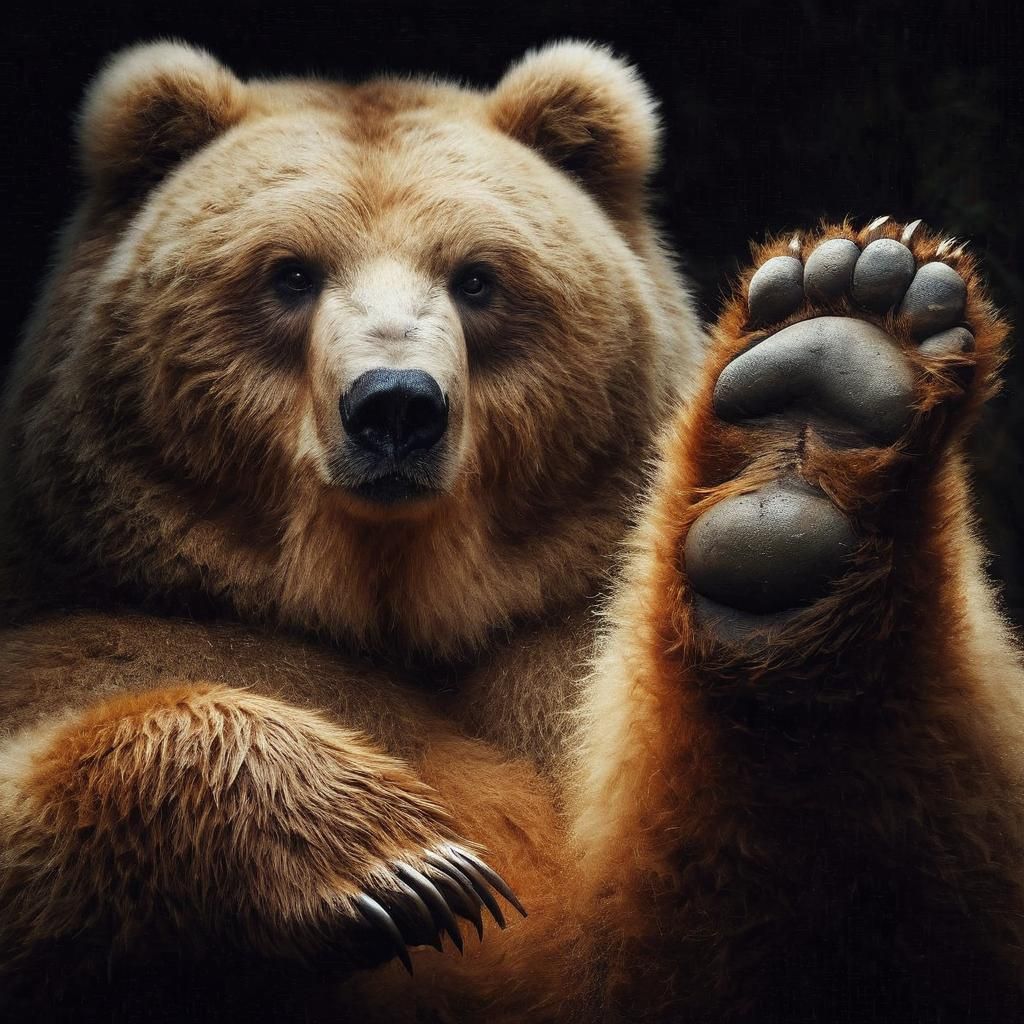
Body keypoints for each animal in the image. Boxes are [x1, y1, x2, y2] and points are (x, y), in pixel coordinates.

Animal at [1, 37, 1023, 1024]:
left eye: (478, 278)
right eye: (288, 272)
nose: (397, 406)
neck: (394, 603)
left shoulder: (561, 665)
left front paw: (840, 343)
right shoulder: (102, 636)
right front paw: (402, 862)